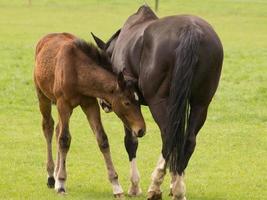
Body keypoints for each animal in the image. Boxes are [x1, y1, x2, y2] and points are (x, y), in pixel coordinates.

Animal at [34, 32, 147, 197]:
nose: (141, 129)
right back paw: (51, 176)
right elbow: (64, 140)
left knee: (58, 129)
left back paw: (55, 174)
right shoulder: (63, 103)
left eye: (139, 102)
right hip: (43, 96)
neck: (77, 69)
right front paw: (61, 182)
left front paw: (116, 185)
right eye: (127, 102)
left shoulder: (90, 104)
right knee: (48, 127)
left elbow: (102, 139)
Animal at [92, 5, 224, 200]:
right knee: (187, 140)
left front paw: (134, 186)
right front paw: (173, 182)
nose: (103, 103)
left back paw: (157, 185)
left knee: (168, 136)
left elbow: (131, 141)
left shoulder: (128, 105)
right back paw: (178, 187)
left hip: (158, 102)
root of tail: (191, 29)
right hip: (201, 104)